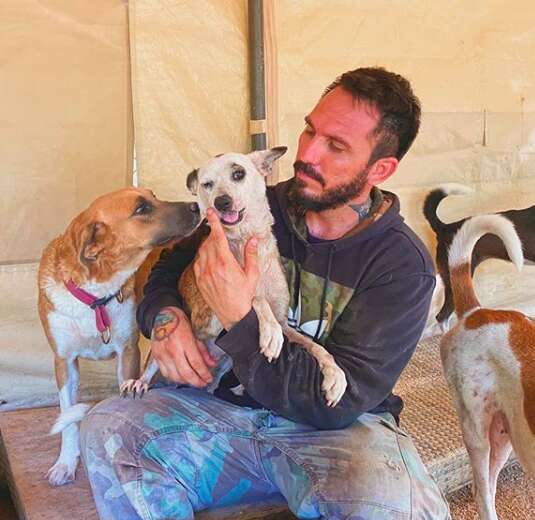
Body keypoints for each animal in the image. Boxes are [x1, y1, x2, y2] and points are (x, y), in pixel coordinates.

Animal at [38, 189, 200, 486]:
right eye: (141, 209)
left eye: (154, 196)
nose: (196, 206)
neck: (95, 296)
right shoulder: (64, 362)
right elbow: (68, 419)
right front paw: (66, 463)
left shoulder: (128, 352)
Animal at [122, 148, 350, 408]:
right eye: (207, 184)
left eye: (238, 174)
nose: (222, 202)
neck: (244, 241)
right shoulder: (209, 314)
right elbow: (254, 298)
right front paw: (270, 332)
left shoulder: (284, 322)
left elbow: (314, 346)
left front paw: (335, 375)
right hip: (159, 354)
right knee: (150, 368)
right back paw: (138, 383)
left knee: (212, 385)